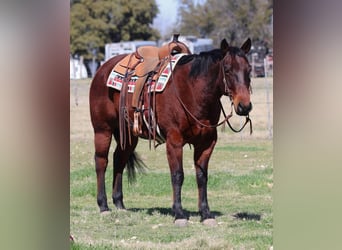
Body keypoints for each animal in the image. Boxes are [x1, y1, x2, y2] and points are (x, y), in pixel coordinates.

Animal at [89, 38, 252, 226]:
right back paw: (103, 206)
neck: (192, 90)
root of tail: (102, 69)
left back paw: (119, 204)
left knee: (119, 160)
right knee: (101, 162)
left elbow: (202, 176)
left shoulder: (206, 143)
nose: (244, 106)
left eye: (249, 69)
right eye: (227, 69)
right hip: (103, 130)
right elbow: (177, 175)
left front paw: (206, 214)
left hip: (128, 135)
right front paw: (179, 214)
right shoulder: (174, 142)